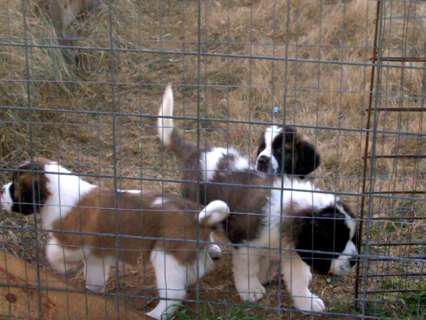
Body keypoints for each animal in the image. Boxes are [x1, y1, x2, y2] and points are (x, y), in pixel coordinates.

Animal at [0, 158, 230, 320]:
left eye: (15, 186)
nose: (2, 190)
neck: (56, 193)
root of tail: (198, 217)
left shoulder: (72, 241)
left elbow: (53, 251)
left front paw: (63, 267)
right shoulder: (97, 257)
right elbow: (94, 279)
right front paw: (91, 296)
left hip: (166, 258)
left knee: (174, 294)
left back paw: (154, 315)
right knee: (200, 268)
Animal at [156, 85, 356, 312]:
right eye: (336, 241)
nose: (354, 260)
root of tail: (197, 151)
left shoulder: (292, 251)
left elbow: (299, 279)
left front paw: (307, 301)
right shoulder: (246, 244)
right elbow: (248, 269)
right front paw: (251, 290)